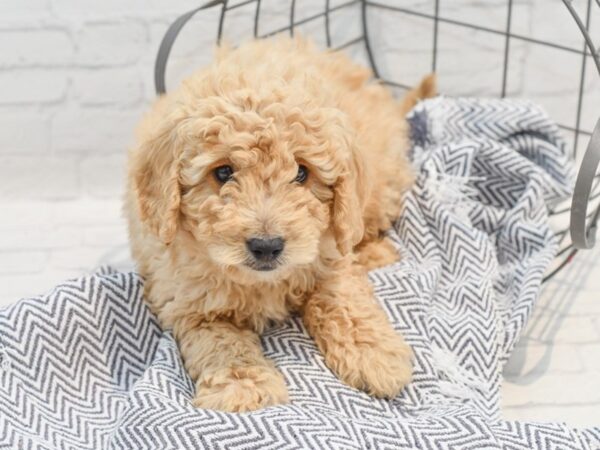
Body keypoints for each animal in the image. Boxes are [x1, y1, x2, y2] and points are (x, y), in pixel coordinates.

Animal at [126, 37, 436, 412]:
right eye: (223, 172)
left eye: (301, 173)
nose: (266, 246)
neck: (263, 283)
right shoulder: (189, 302)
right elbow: (220, 341)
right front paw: (243, 383)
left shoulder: (329, 257)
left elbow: (342, 298)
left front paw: (374, 354)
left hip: (379, 185)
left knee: (364, 226)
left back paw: (376, 252)